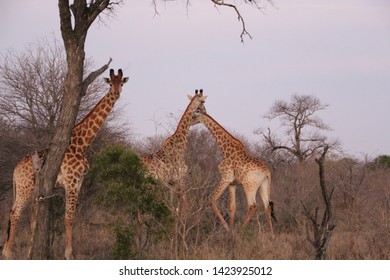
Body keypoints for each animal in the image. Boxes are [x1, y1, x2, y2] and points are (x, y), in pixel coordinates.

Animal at [2, 69, 129, 260]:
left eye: (121, 83)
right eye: (110, 83)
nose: (116, 93)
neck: (81, 144)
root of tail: (15, 170)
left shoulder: (79, 182)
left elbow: (72, 217)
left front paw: (69, 252)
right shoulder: (71, 181)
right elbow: (68, 217)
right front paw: (69, 254)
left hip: (29, 189)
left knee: (26, 216)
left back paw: (21, 251)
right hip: (25, 187)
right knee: (15, 214)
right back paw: (8, 253)